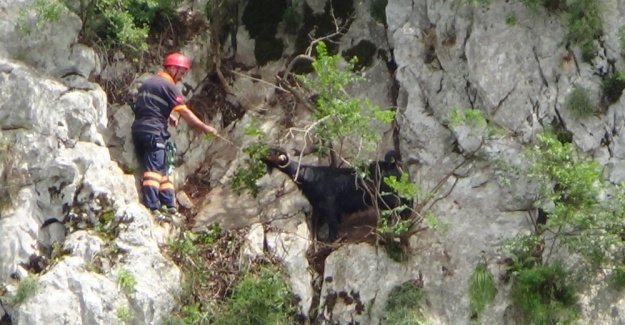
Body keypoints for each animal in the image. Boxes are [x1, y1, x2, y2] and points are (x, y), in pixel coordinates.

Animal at [262, 147, 412, 240]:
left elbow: (332, 226)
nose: (263, 156)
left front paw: (330, 240)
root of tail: (391, 165)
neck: (309, 177)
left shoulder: (330, 208)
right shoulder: (319, 208)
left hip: (388, 196)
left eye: (273, 152)